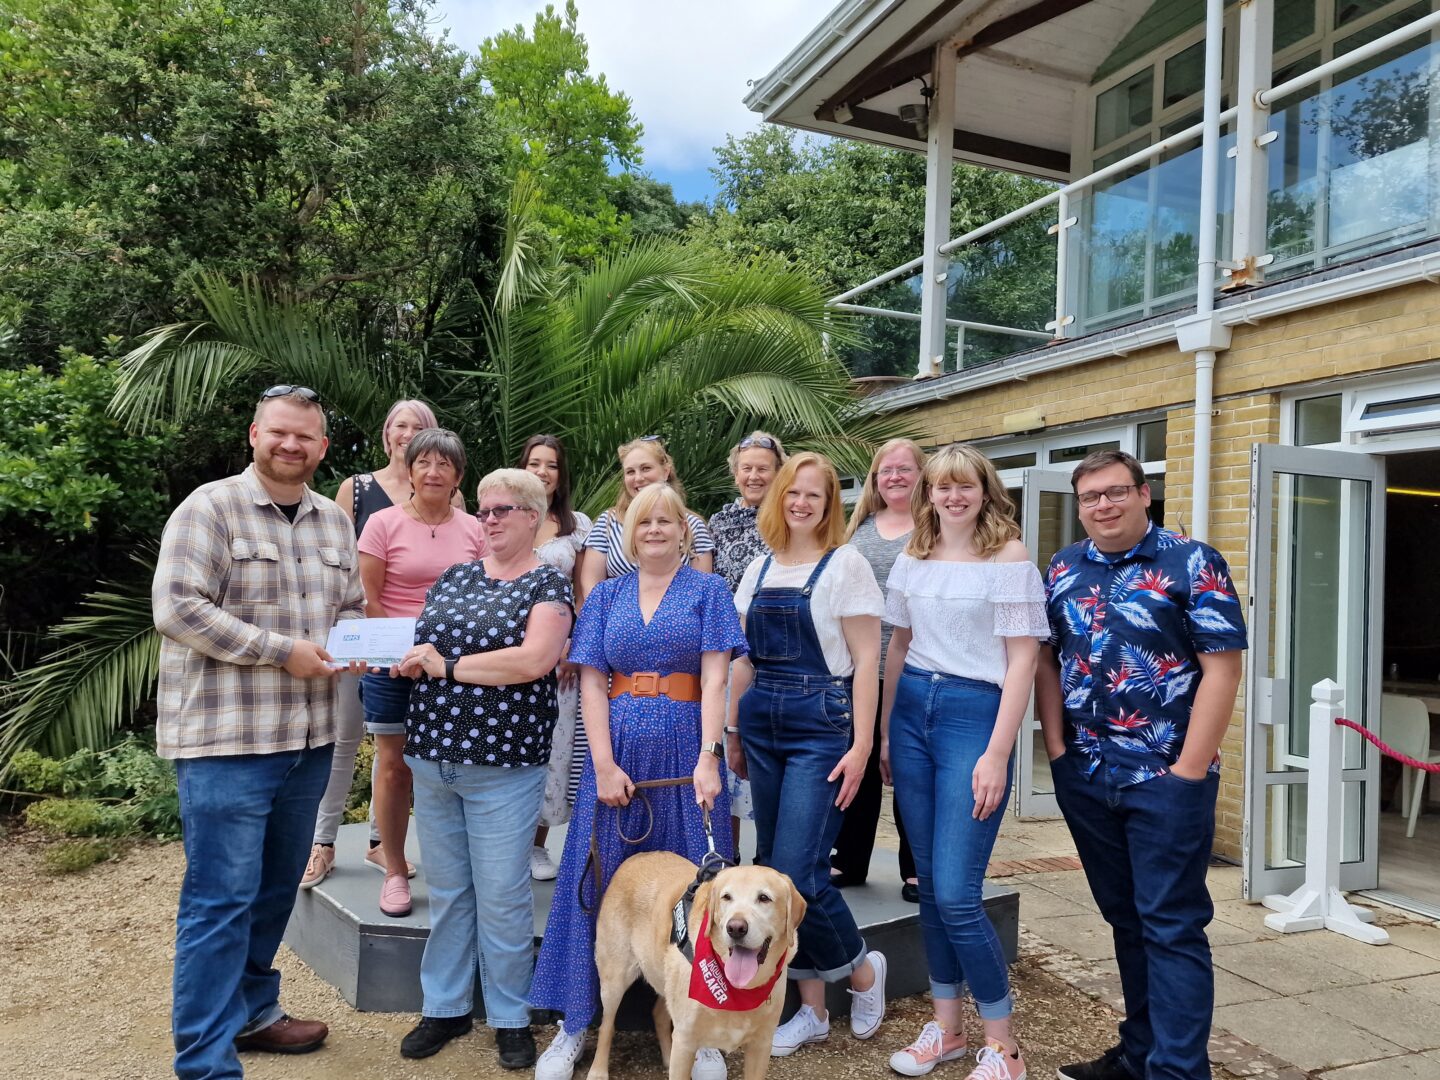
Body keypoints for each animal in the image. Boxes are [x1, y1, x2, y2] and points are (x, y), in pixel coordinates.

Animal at [587, 852, 812, 1080]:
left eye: (764, 898)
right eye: (726, 897)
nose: (735, 928)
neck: (737, 989)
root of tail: (636, 856)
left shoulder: (762, 1044)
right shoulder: (685, 1040)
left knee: (658, 1014)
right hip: (614, 979)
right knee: (607, 1025)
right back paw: (598, 1071)